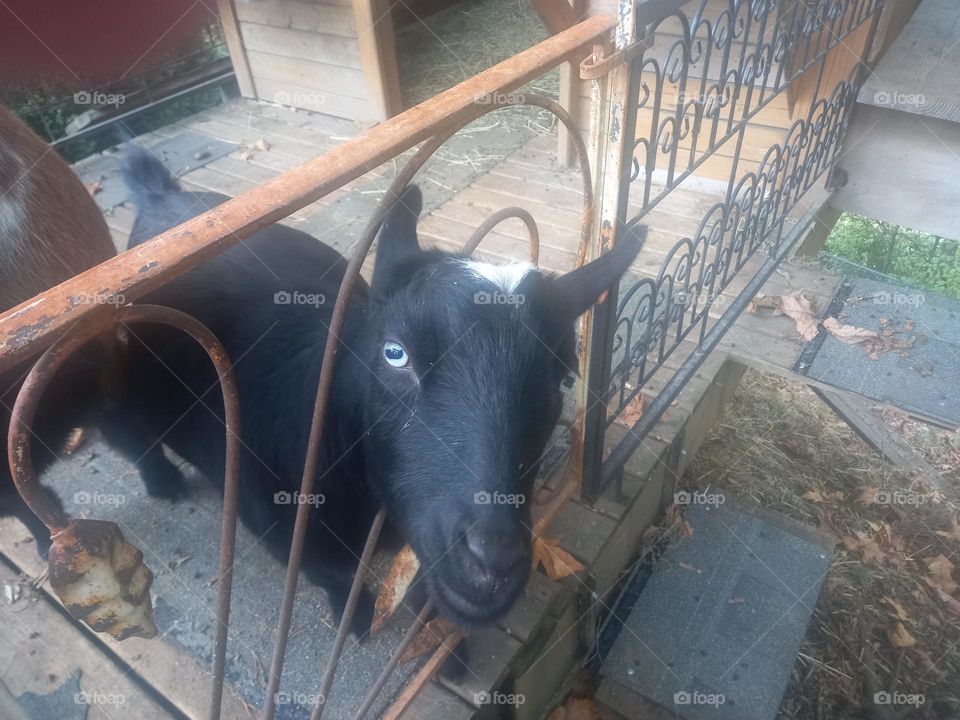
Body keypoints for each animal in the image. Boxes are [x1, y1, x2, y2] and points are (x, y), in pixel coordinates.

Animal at [114, 148, 642, 629]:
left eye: (562, 379)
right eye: (394, 352)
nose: (492, 562)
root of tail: (160, 193)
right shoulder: (288, 537)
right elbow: (333, 579)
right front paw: (357, 619)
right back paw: (163, 482)